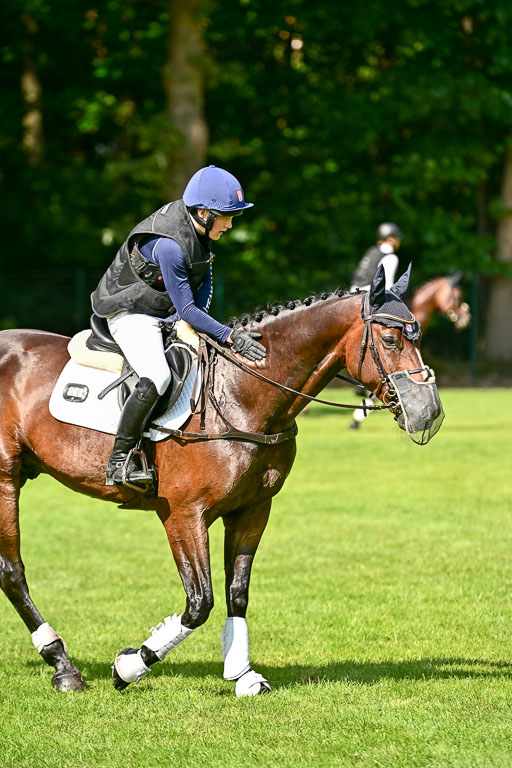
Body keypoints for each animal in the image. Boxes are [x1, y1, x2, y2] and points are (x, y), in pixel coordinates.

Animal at [0, 265, 443, 695]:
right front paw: (129, 666)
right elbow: (200, 602)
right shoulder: (183, 516)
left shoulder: (252, 510)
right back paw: (63, 666)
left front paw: (242, 674)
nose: (429, 413)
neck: (243, 394)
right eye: (390, 340)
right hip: (6, 480)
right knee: (12, 571)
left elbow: (237, 592)